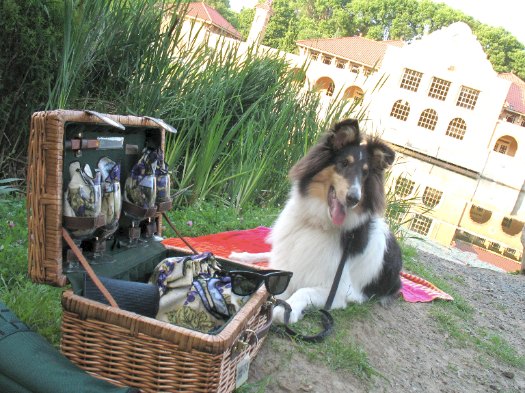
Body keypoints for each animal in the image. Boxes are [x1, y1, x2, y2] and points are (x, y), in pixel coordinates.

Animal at [229, 119, 402, 322]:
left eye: (365, 173)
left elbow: (304, 290)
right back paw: (241, 255)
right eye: (344, 163)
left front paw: (287, 310)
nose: (354, 198)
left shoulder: (337, 291)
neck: (317, 223)